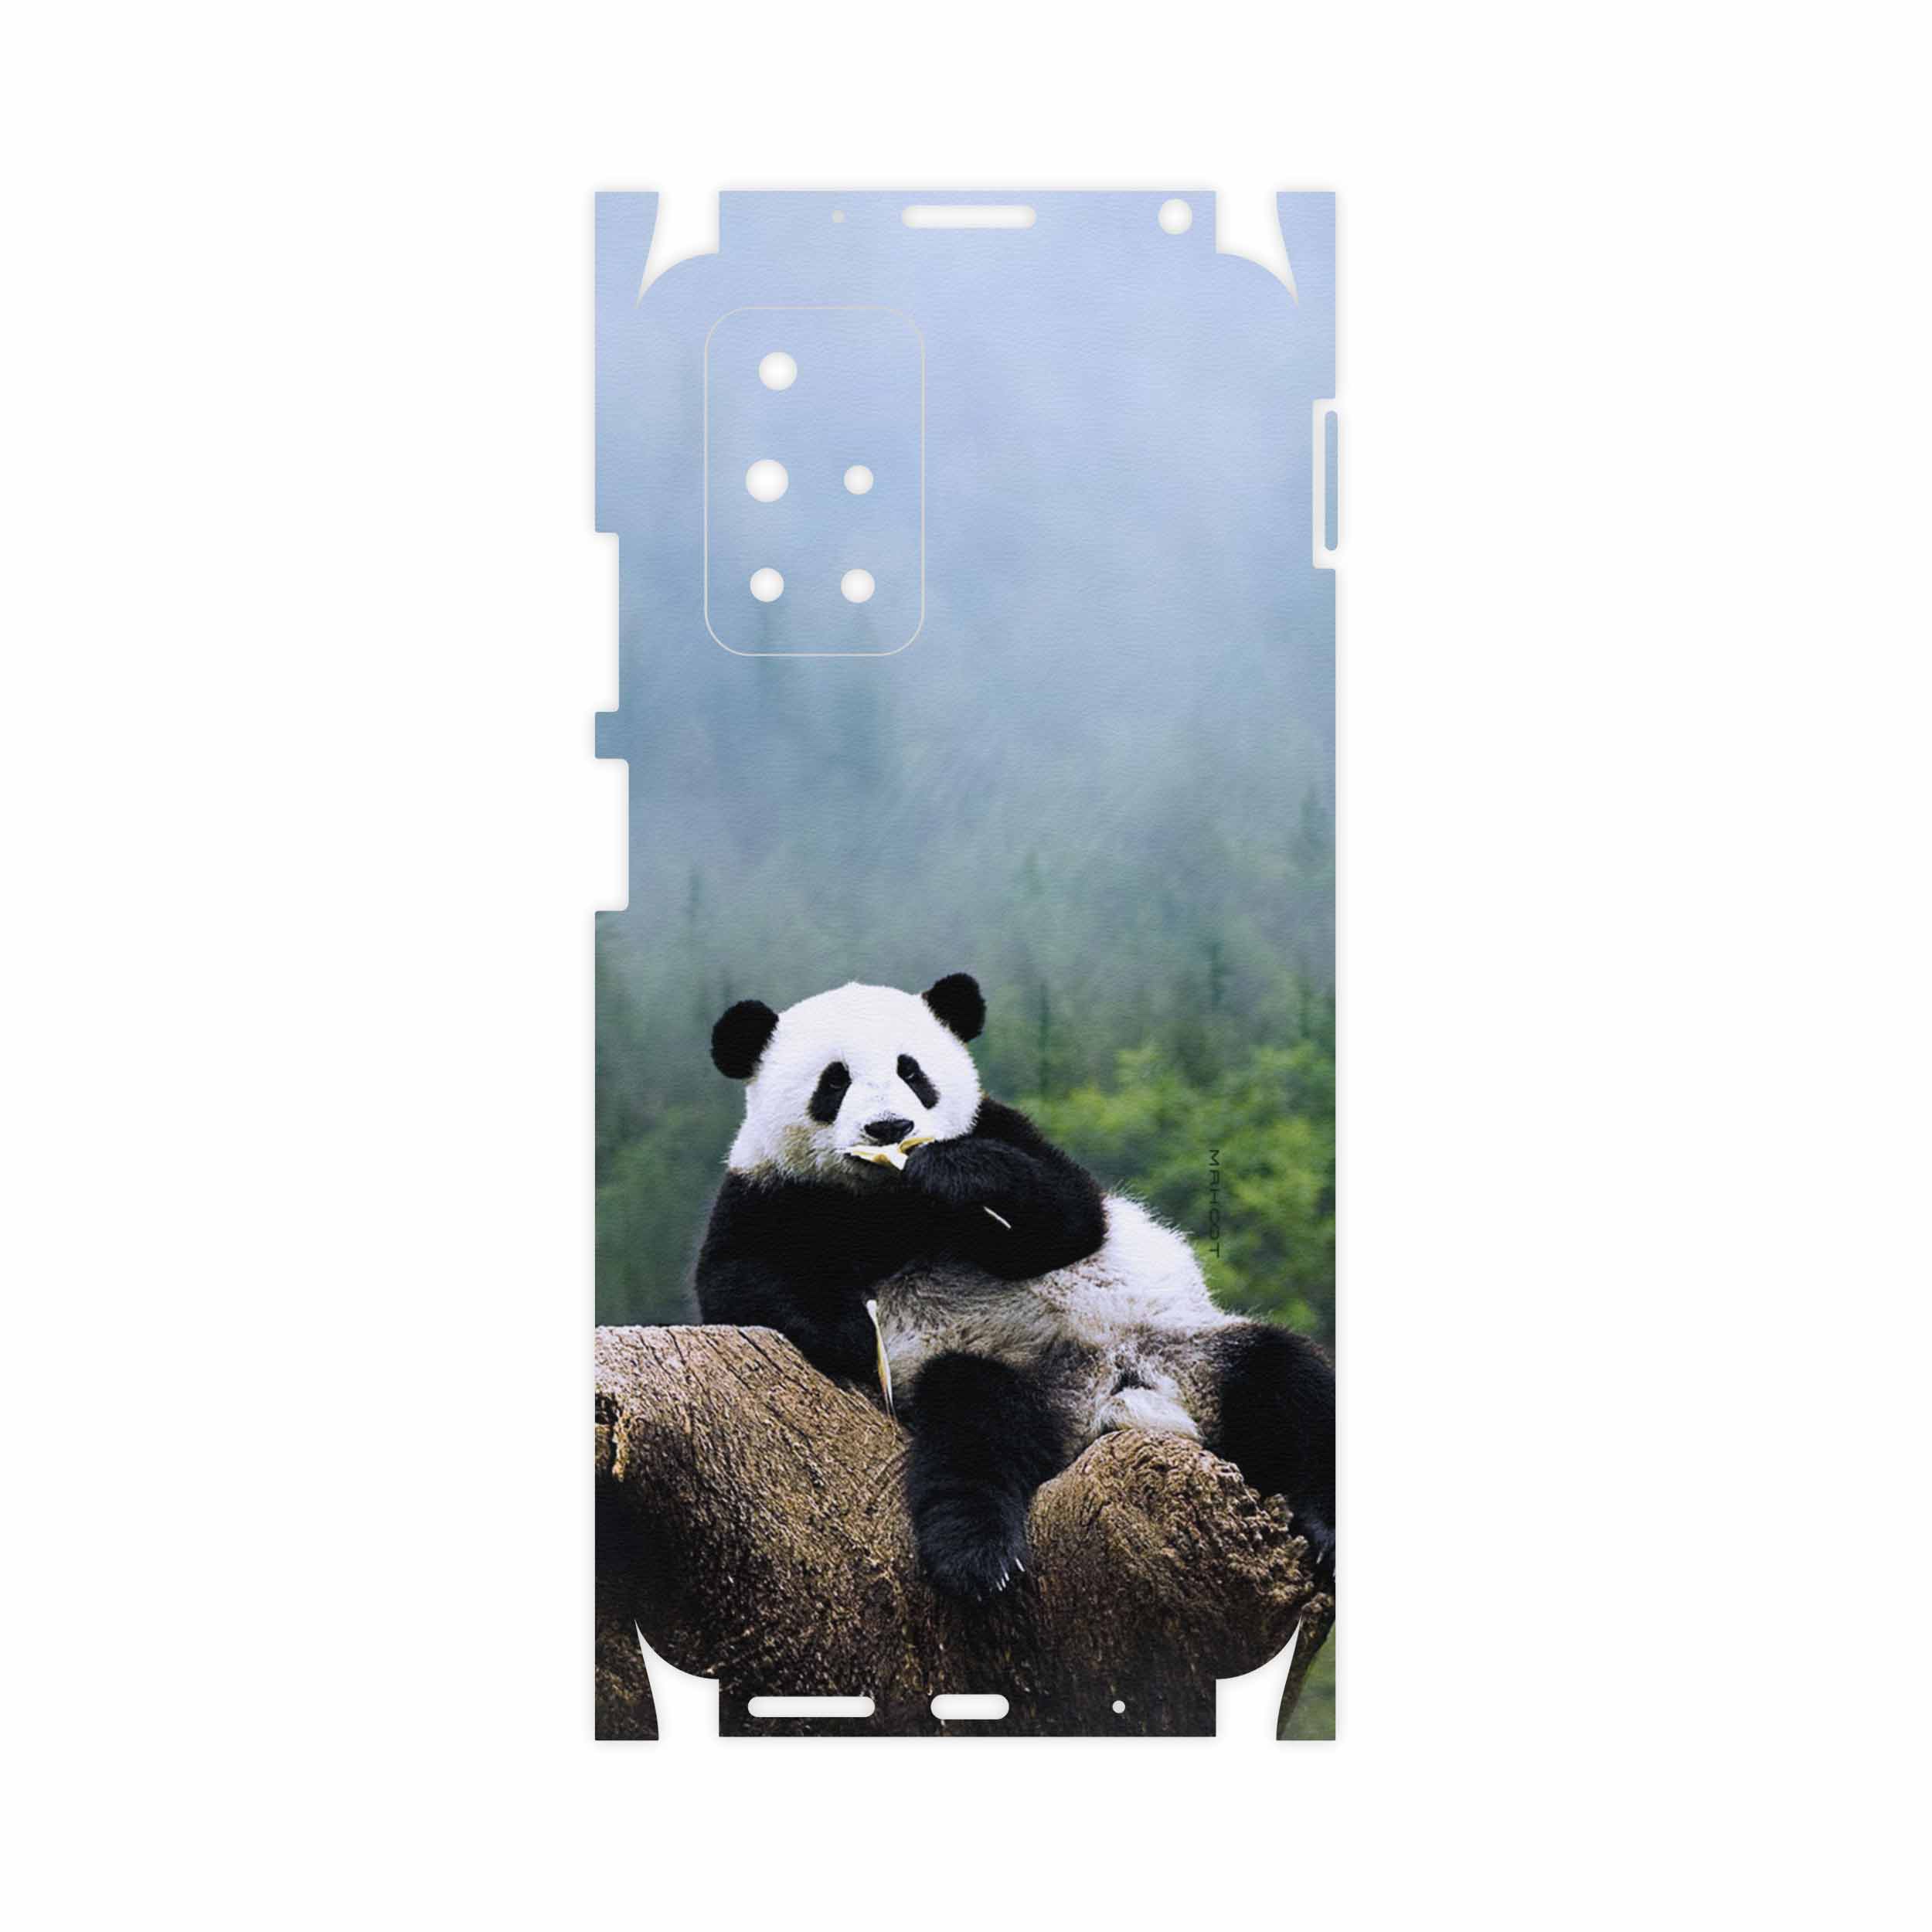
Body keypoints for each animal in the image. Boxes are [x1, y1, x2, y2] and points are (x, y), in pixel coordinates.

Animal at [695, 973, 1335, 1599]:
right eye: (834, 1082)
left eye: (912, 1072)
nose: (890, 1127)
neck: (888, 1199)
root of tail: (1109, 1397)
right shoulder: (770, 1191)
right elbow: (738, 1280)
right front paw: (855, 1332)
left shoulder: (1003, 1128)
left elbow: (1070, 1217)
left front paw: (955, 1174)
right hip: (1010, 1376)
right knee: (974, 1429)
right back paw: (978, 1557)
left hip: (1185, 1349)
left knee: (1290, 1381)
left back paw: (1323, 1527)